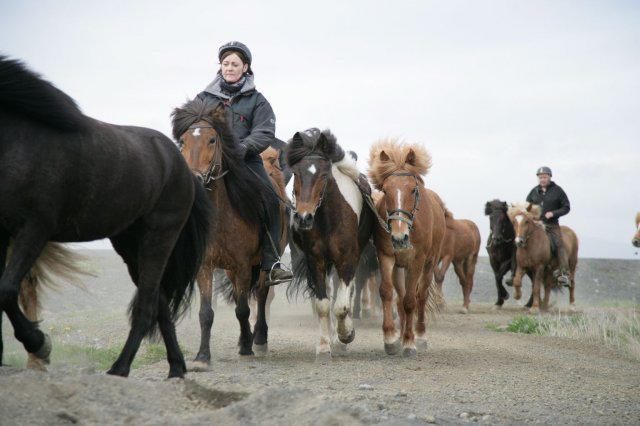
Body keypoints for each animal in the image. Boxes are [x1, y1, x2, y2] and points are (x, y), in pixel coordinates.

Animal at [0, 55, 210, 376]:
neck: (20, 139)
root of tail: (183, 168)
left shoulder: (34, 229)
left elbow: (6, 290)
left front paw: (40, 343)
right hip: (130, 246)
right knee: (158, 302)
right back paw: (176, 368)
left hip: (159, 236)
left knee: (147, 307)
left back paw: (120, 368)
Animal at [171, 98, 276, 362]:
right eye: (182, 141)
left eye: (212, 140)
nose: (196, 180)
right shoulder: (206, 266)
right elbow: (206, 313)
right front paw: (202, 356)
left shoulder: (243, 265)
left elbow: (243, 309)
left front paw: (248, 347)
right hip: (230, 270)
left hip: (261, 266)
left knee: (261, 295)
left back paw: (259, 339)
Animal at [286, 127, 376, 360]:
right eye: (296, 173)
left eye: (324, 175)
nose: (304, 218)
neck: (328, 220)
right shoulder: (315, 261)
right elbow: (323, 304)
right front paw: (324, 345)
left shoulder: (348, 260)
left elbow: (341, 305)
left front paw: (345, 336)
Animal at [368, 140, 448, 356]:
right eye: (385, 190)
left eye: (413, 189)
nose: (399, 237)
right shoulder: (386, 256)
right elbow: (387, 293)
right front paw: (391, 338)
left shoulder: (417, 261)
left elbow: (411, 301)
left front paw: (410, 342)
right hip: (399, 267)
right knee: (400, 299)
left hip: (429, 265)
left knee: (420, 297)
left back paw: (419, 335)